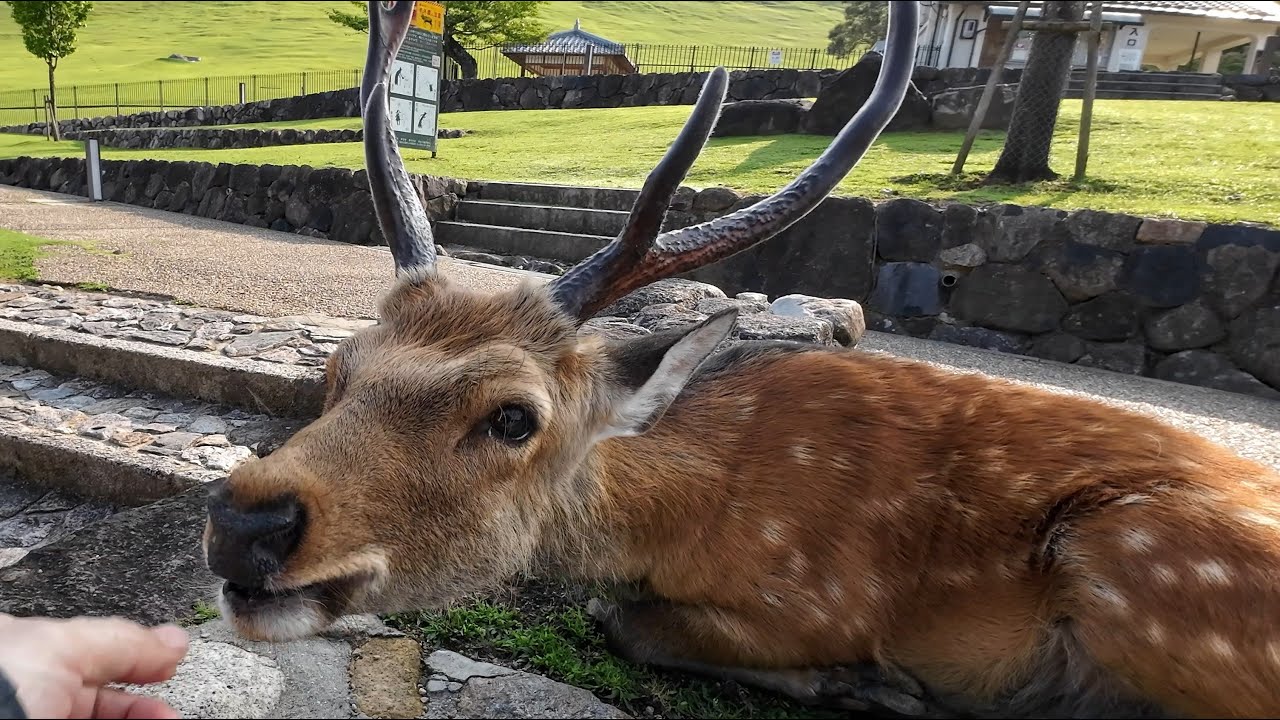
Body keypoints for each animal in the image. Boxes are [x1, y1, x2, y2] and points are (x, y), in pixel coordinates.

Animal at [201, 1, 1280, 717]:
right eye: (339, 369)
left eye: (514, 416)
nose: (245, 523)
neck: (688, 516)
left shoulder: (817, 600)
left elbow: (623, 620)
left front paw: (869, 678)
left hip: (1133, 554)